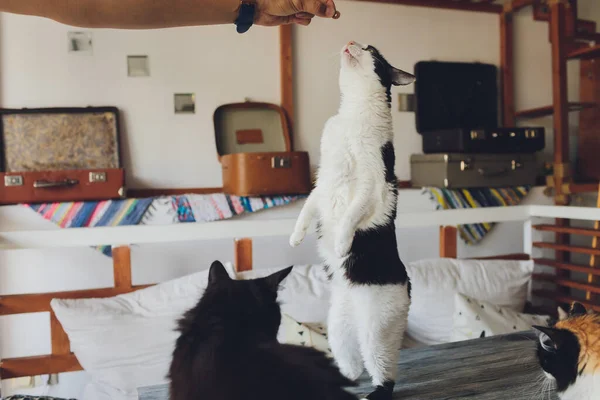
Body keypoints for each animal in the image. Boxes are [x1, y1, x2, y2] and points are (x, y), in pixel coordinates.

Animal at [292, 41, 414, 400]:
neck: (351, 115)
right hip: (337, 329)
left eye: (370, 49)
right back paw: (339, 377)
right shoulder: (321, 185)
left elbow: (349, 217)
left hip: (377, 334)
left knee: (383, 374)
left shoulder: (373, 187)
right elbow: (307, 209)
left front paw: (342, 243)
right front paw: (295, 236)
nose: (350, 41)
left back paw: (372, 392)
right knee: (352, 363)